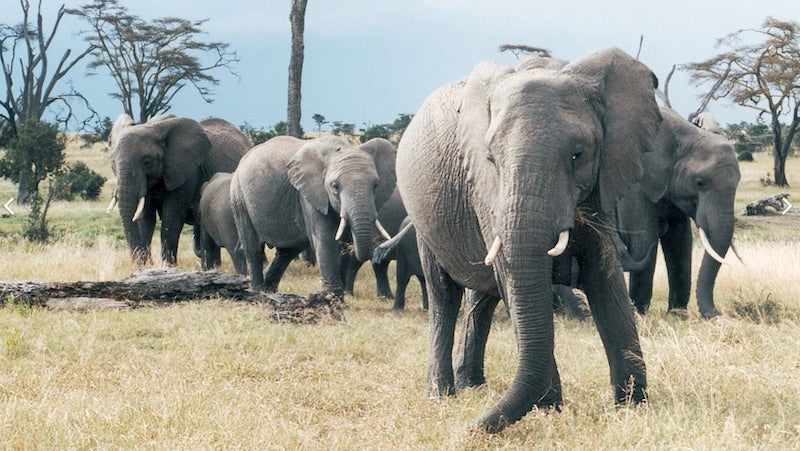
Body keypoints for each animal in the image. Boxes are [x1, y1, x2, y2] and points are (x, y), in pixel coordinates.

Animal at [108, 114, 252, 265]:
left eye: (147, 162)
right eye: (113, 163)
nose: (145, 263)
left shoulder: (188, 172)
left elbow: (172, 216)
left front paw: (168, 266)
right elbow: (145, 217)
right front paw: (145, 266)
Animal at [230, 135, 396, 297]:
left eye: (375, 186)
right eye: (335, 186)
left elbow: (343, 241)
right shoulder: (309, 194)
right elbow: (325, 239)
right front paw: (333, 298)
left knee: (287, 252)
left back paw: (268, 290)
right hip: (239, 197)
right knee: (253, 248)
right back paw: (257, 291)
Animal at [395, 48, 662, 432]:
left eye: (578, 155)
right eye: (491, 158)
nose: (467, 429)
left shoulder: (601, 181)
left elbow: (604, 275)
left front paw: (633, 406)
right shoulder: (487, 190)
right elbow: (513, 278)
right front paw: (550, 410)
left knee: (481, 297)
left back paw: (472, 386)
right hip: (424, 221)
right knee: (444, 295)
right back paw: (442, 395)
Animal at [615, 107, 740, 318]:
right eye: (700, 183)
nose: (720, 315)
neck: (687, 135)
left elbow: (680, 242)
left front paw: (677, 315)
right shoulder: (634, 186)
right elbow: (643, 241)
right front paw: (640, 315)